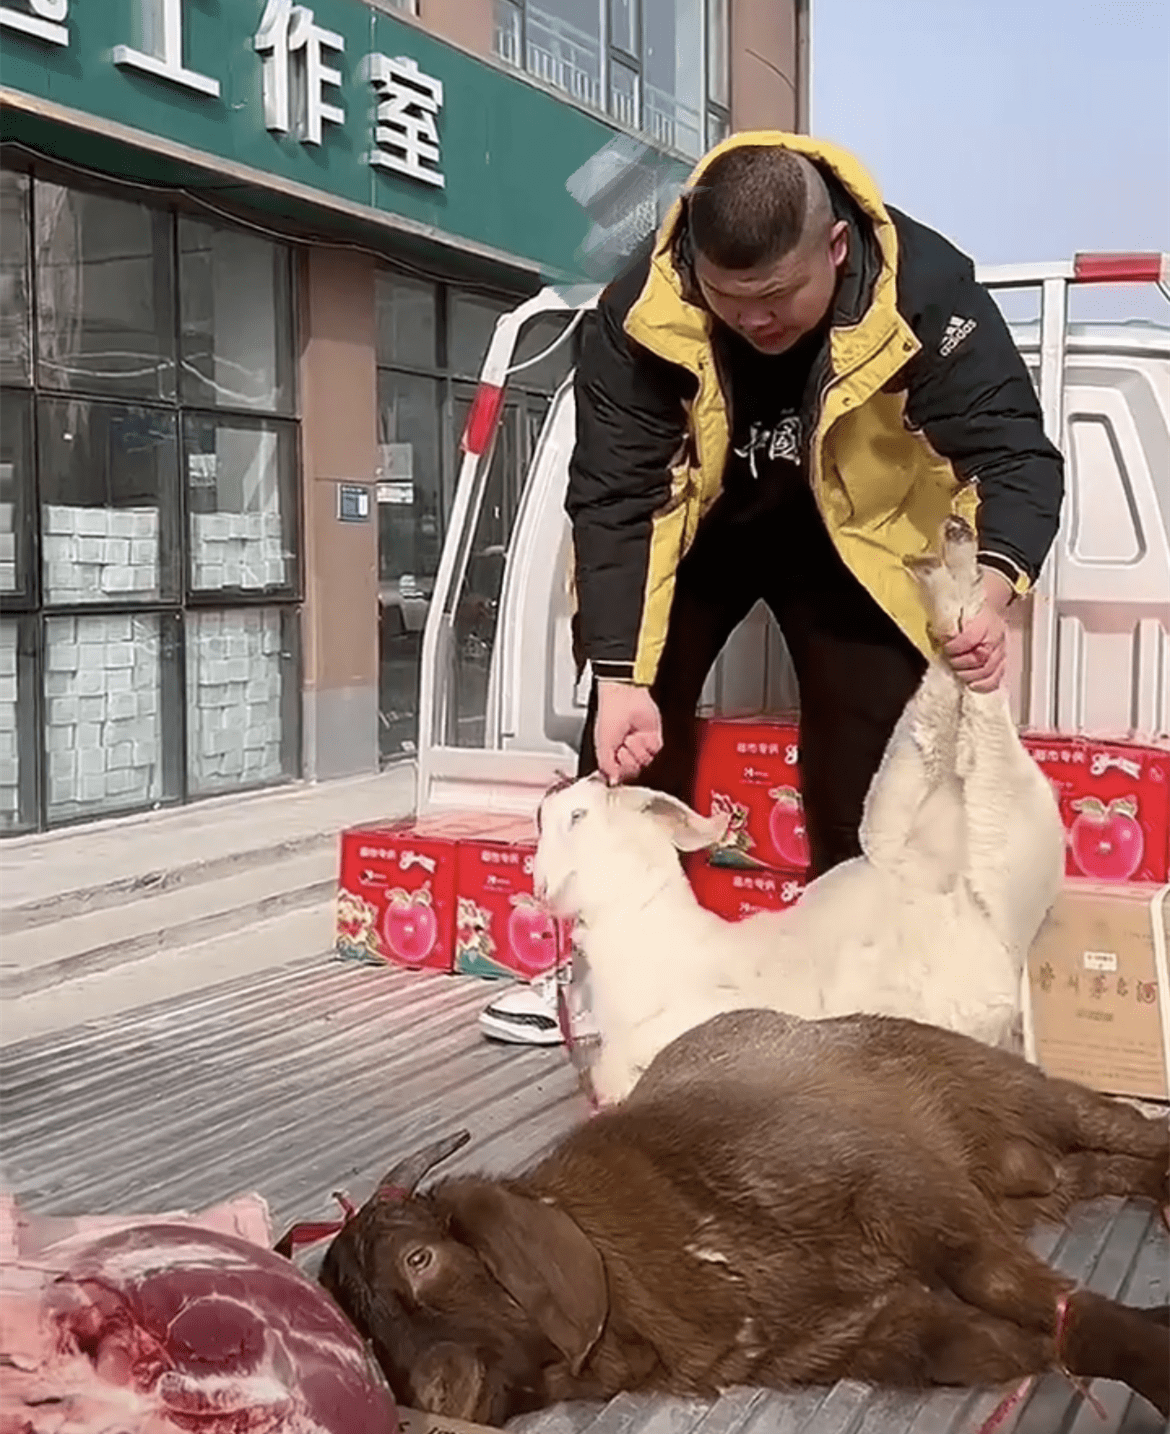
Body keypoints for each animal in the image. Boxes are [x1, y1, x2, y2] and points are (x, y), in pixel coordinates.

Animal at [319, 1003, 1170, 1428]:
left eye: (420, 1258)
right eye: (365, 1334)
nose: (437, 1396)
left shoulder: (910, 1192)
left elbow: (1013, 1288)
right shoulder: (869, 1336)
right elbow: (1017, 1344)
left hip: (1025, 1094)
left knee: (1131, 1128)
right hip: (1030, 1175)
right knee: (1092, 1169)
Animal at [533, 516, 1066, 1107]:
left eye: (576, 818)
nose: (568, 787)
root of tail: (966, 893)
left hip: (1007, 828)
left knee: (982, 714)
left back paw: (955, 574)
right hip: (898, 807)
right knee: (939, 704)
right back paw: (944, 567)